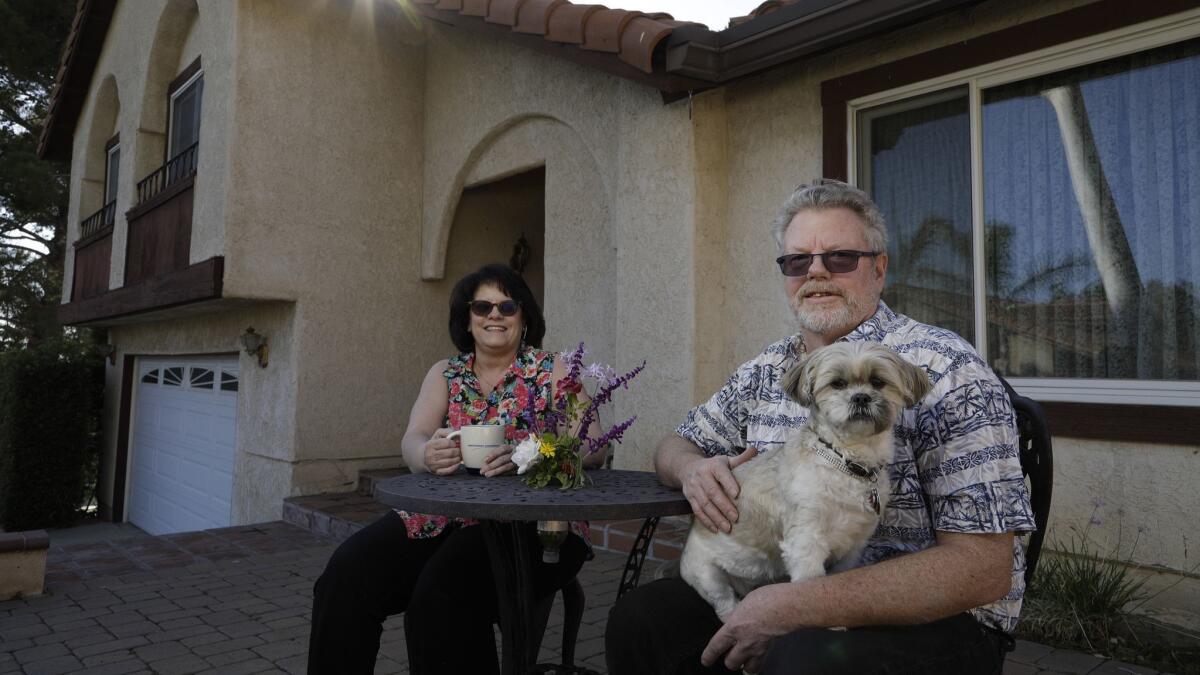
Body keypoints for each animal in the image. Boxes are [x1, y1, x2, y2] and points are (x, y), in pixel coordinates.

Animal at [686, 341, 926, 614]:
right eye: (837, 383)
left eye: (877, 382)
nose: (861, 397)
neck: (844, 460)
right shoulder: (805, 539)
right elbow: (810, 583)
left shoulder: (853, 547)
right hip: (708, 575)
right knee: (725, 603)